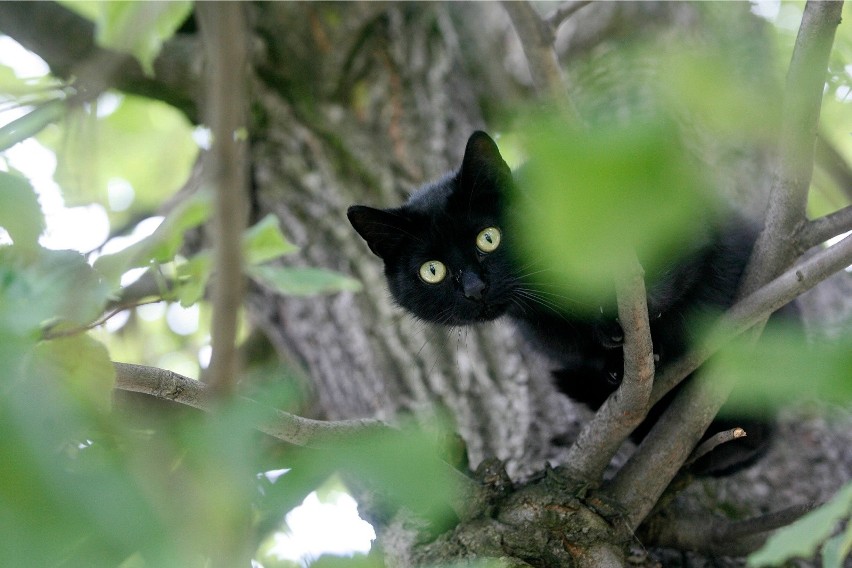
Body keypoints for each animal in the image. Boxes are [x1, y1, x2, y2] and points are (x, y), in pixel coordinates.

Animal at [346, 131, 780, 472]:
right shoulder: (537, 326)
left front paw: (633, 324)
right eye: (432, 270)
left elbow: (663, 278)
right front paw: (610, 360)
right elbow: (570, 342)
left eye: (489, 237)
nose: (474, 289)